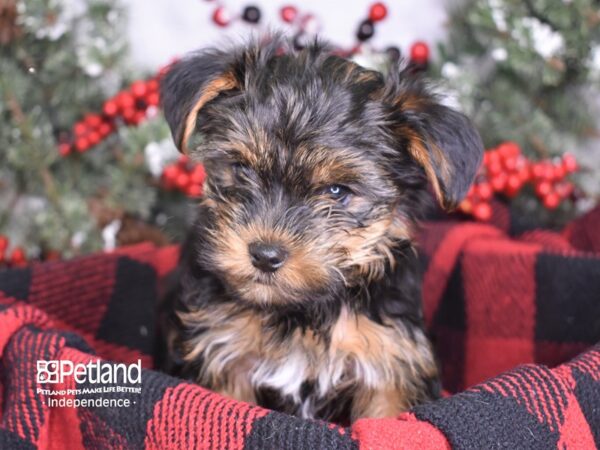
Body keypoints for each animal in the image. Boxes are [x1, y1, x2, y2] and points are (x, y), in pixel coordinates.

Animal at [158, 36, 482, 422]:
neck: (301, 311)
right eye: (241, 169)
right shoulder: (222, 351)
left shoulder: (391, 364)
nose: (265, 255)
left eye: (337, 191)